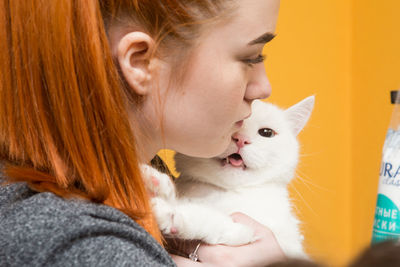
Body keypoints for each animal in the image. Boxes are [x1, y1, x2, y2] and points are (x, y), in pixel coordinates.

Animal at [142, 96, 314, 258]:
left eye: (266, 133)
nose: (241, 139)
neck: (228, 192)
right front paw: (155, 184)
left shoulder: (270, 238)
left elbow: (215, 220)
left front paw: (171, 213)